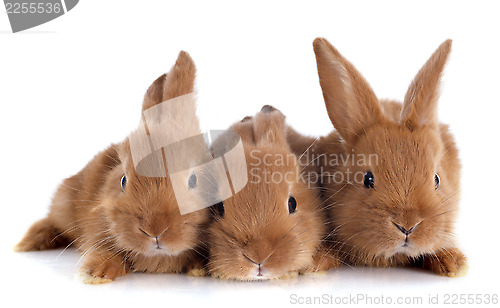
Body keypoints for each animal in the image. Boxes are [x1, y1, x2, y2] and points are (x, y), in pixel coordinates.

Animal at [14, 51, 214, 284]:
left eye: (193, 180)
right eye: (123, 181)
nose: (154, 230)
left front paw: (199, 268)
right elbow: (105, 250)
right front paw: (94, 274)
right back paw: (28, 242)